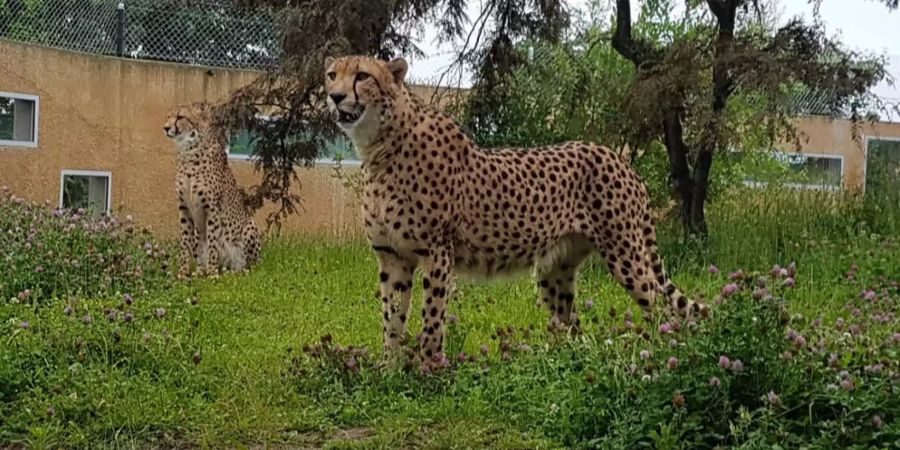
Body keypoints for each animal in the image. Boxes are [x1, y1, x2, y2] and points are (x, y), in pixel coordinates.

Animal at [163, 102, 260, 278]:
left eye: (180, 117)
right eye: (168, 117)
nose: (166, 128)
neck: (189, 150)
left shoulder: (212, 208)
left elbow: (213, 242)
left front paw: (212, 273)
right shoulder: (184, 207)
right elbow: (186, 243)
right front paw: (183, 273)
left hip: (249, 226)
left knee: (250, 265)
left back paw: (235, 270)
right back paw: (201, 271)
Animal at [326, 55, 712, 362]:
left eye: (362, 76)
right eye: (332, 74)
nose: (334, 96)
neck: (381, 145)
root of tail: (617, 158)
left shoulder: (437, 251)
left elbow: (432, 316)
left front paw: (428, 369)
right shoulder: (393, 256)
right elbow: (391, 318)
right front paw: (389, 369)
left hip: (625, 253)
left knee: (659, 305)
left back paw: (664, 355)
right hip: (554, 270)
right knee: (573, 325)